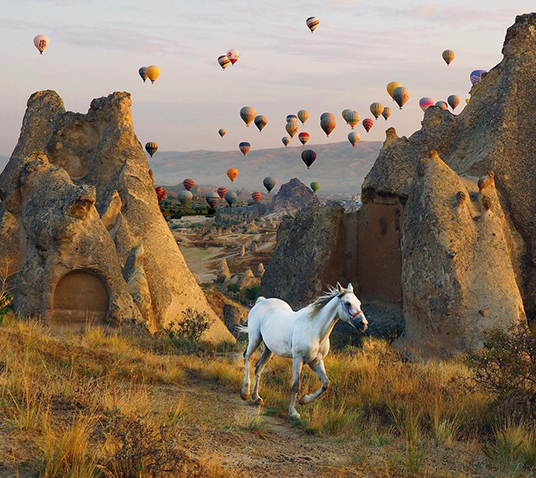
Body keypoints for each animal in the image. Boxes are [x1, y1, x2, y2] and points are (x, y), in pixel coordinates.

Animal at [240, 282, 368, 420]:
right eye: (348, 303)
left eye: (359, 303)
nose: (363, 324)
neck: (315, 330)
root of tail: (261, 302)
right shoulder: (298, 359)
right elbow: (296, 385)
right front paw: (293, 412)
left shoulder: (316, 361)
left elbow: (325, 383)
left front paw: (304, 400)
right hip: (255, 339)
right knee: (246, 357)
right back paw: (245, 393)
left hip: (268, 349)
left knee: (258, 367)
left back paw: (256, 398)